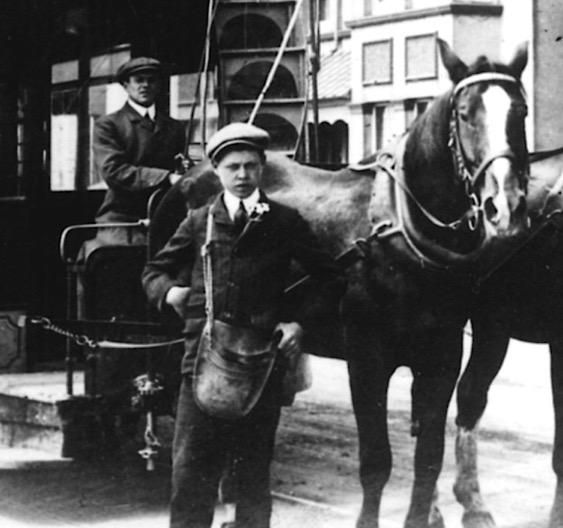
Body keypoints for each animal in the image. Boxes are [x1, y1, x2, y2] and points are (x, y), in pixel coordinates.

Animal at [149, 41, 528, 528]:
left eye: (520, 110)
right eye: (464, 114)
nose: (507, 206)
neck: (400, 230)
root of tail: (188, 175)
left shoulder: (441, 357)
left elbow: (429, 456)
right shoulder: (366, 357)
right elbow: (377, 462)